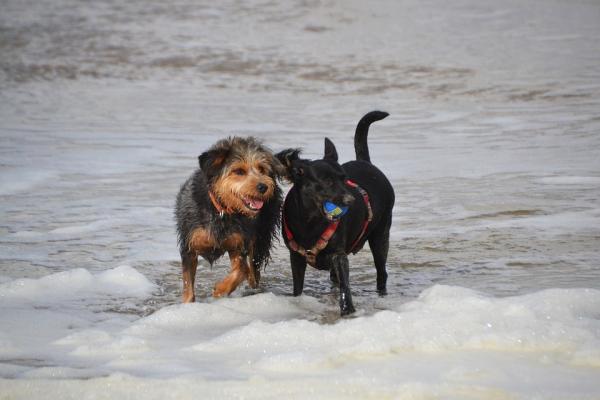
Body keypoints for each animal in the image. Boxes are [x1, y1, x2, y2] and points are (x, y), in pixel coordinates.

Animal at [175, 136, 282, 302]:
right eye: (239, 171)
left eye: (261, 169)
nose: (263, 186)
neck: (221, 210)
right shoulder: (189, 245)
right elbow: (188, 285)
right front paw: (187, 303)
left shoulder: (239, 244)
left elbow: (242, 270)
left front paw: (220, 289)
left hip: (261, 236)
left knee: (253, 271)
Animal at [276, 110, 394, 316]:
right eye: (327, 181)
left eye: (344, 178)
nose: (351, 200)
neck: (310, 222)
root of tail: (365, 162)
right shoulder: (296, 257)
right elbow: (298, 287)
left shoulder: (339, 256)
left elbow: (346, 286)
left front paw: (348, 310)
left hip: (381, 235)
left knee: (382, 272)